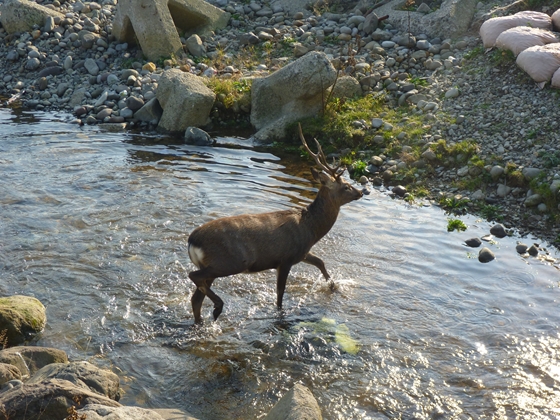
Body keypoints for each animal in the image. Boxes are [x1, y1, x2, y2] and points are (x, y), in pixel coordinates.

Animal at [188, 123, 364, 324]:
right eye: (346, 187)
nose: (361, 192)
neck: (311, 229)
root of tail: (192, 241)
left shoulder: (301, 252)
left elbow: (320, 261)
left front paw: (333, 286)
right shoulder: (286, 258)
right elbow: (280, 293)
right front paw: (280, 313)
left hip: (210, 265)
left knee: (196, 298)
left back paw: (203, 320)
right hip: (229, 262)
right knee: (194, 277)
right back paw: (218, 307)